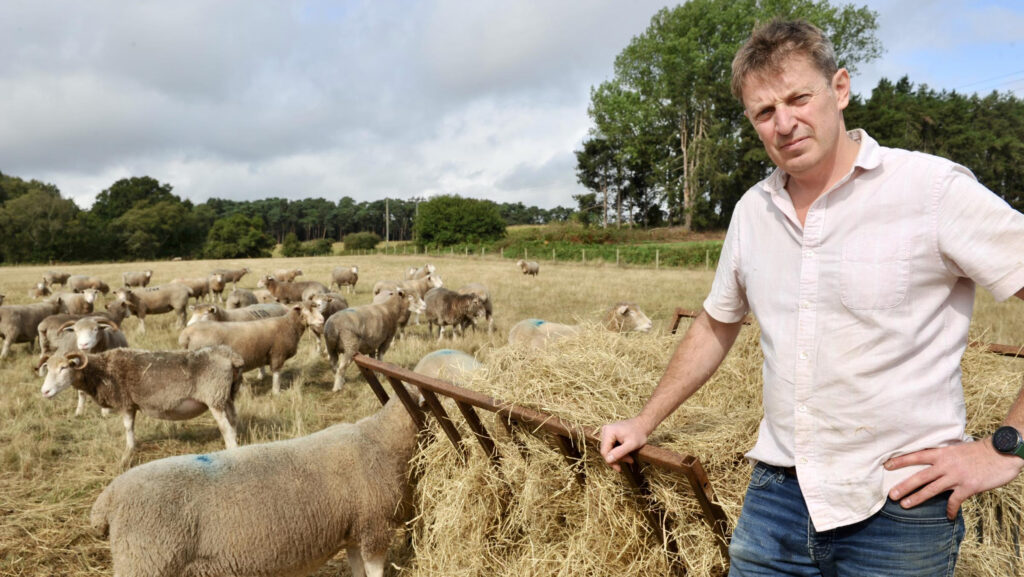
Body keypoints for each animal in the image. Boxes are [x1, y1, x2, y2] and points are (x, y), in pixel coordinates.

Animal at [178, 303, 323, 393]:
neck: (288, 324)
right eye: (307, 310)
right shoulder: (278, 354)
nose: (322, 320)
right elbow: (277, 374)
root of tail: (186, 334)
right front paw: (276, 392)